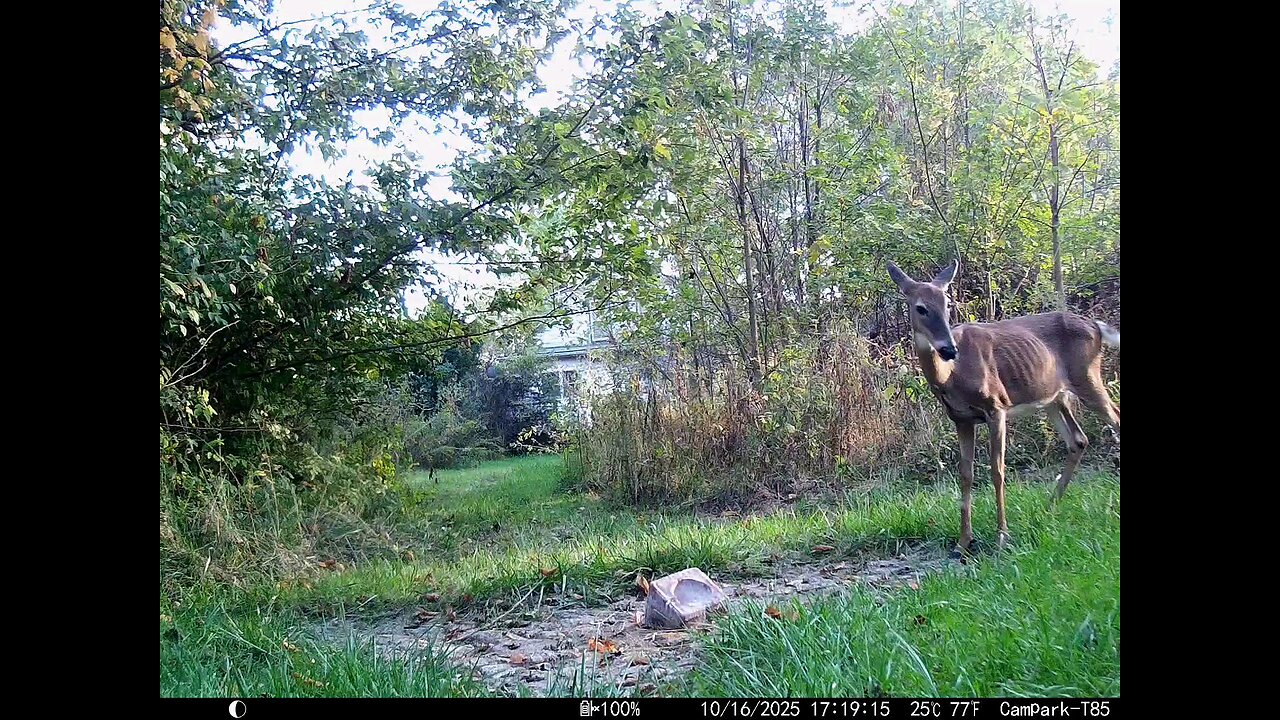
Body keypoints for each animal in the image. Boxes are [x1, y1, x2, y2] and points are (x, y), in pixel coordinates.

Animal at [885, 258, 1119, 553]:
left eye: (947, 304)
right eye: (921, 308)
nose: (949, 349)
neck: (953, 374)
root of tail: (1096, 326)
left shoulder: (996, 407)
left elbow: (997, 471)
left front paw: (1002, 536)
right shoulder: (960, 418)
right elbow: (966, 474)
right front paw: (963, 542)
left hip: (1087, 377)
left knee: (1115, 419)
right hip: (1053, 397)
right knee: (1078, 440)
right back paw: (1049, 507)